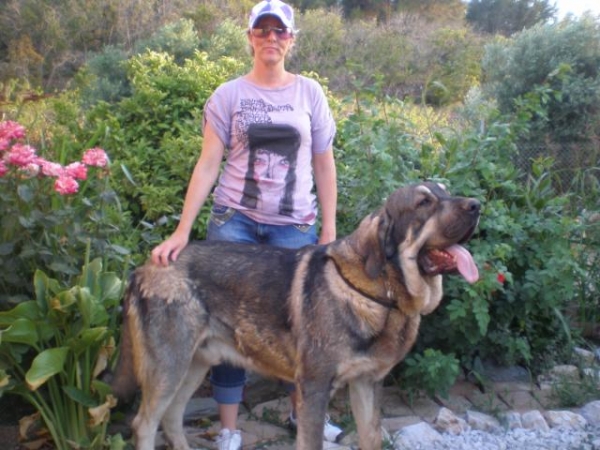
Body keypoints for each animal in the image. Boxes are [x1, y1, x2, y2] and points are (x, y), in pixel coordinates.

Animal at [111, 183, 478, 450]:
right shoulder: (314, 389)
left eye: (445, 191)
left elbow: (371, 438)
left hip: (195, 364)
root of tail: (143, 268)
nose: (476, 205)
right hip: (169, 368)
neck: (380, 294)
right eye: (424, 203)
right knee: (145, 424)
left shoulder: (367, 384)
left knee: (172, 419)